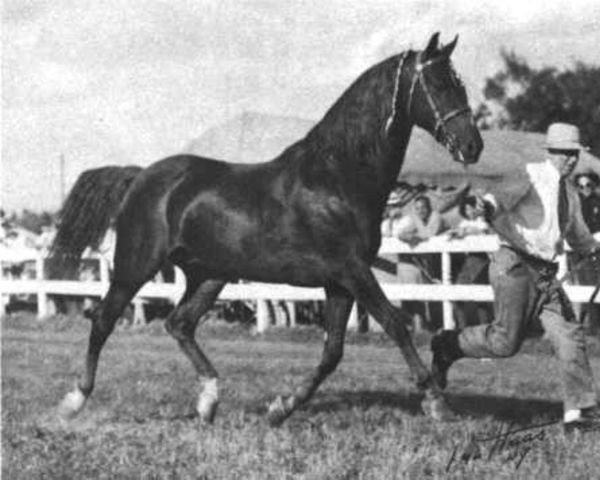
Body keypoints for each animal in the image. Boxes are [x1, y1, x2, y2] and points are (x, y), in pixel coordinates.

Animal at [51, 32, 482, 424]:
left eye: (460, 84)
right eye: (438, 85)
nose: (472, 146)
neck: (337, 177)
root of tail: (140, 177)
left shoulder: (340, 282)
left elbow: (332, 352)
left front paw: (281, 407)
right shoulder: (353, 272)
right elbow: (394, 323)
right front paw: (436, 401)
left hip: (209, 274)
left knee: (179, 324)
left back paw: (208, 401)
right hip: (135, 264)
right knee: (104, 319)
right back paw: (75, 400)